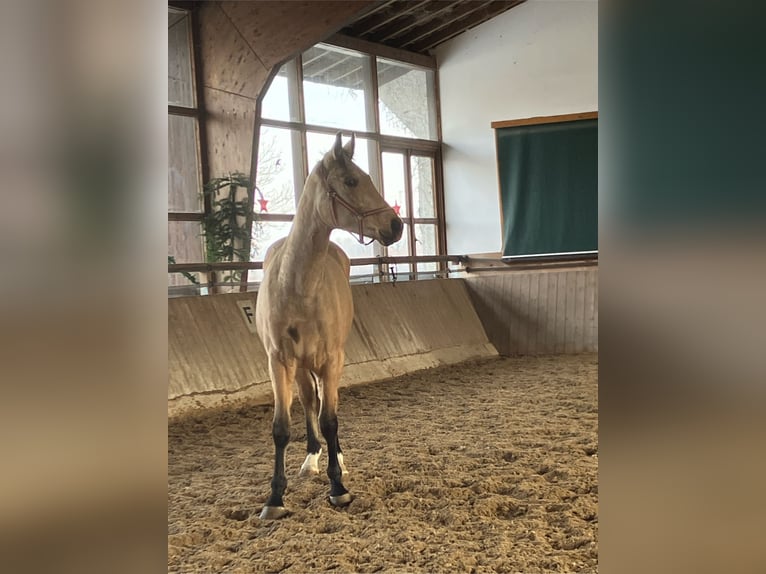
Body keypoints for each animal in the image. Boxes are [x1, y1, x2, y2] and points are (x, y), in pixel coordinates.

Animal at [255, 133, 404, 520]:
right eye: (351, 181)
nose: (396, 226)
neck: (298, 286)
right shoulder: (279, 361)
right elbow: (281, 428)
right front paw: (274, 497)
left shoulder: (331, 360)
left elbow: (331, 420)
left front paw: (338, 487)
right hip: (301, 366)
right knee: (310, 401)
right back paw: (311, 458)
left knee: (324, 407)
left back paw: (335, 456)